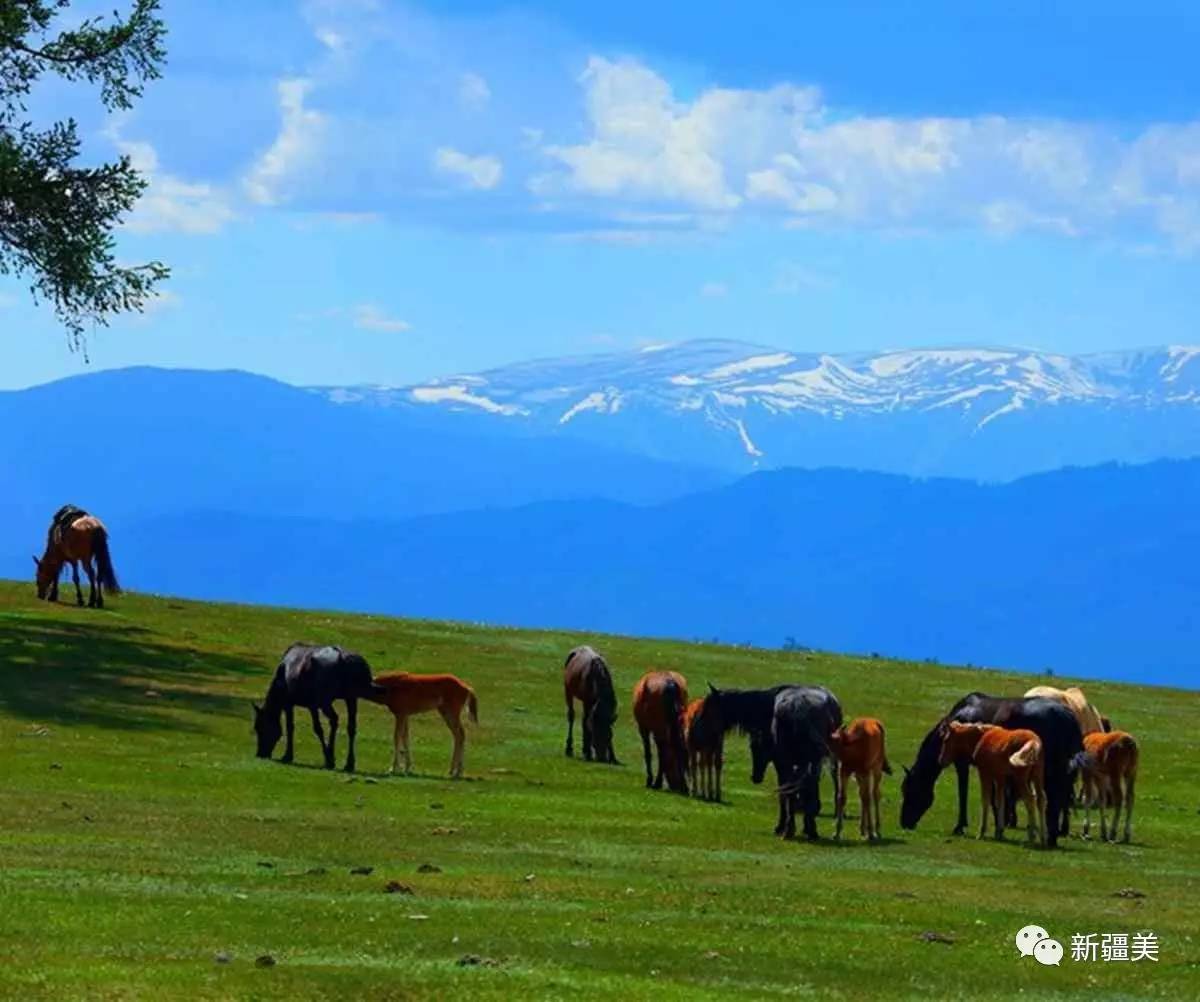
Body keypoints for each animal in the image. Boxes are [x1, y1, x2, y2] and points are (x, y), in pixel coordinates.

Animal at [250, 643, 381, 777]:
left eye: (259, 727)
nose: (260, 754)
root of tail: (343, 659)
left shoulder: (295, 704)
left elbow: (297, 728)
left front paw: (288, 756)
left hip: (325, 701)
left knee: (334, 720)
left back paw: (331, 759)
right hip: (351, 698)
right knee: (350, 727)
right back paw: (348, 763)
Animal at [696, 686, 844, 844]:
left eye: (707, 709)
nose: (696, 732)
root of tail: (801, 706)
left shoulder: (781, 764)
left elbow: (785, 796)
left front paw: (780, 827)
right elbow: (805, 792)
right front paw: (807, 827)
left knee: (790, 793)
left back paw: (788, 830)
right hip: (815, 762)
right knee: (809, 789)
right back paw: (811, 831)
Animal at [902, 696, 1089, 849]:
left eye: (908, 791)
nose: (904, 823)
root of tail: (1068, 716)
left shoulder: (964, 764)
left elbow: (965, 793)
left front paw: (961, 826)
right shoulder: (996, 771)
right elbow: (997, 797)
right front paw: (1000, 825)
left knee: (1053, 800)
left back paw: (1049, 837)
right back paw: (1051, 836)